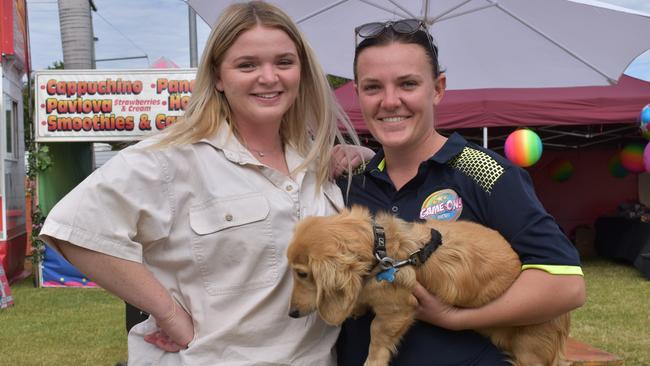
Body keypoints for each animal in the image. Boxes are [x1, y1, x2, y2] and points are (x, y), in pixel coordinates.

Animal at [288, 206, 568, 366]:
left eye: (302, 273)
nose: (291, 313)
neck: (382, 249)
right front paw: (356, 307)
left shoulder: (398, 310)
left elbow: (377, 334)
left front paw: (373, 360)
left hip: (530, 352)